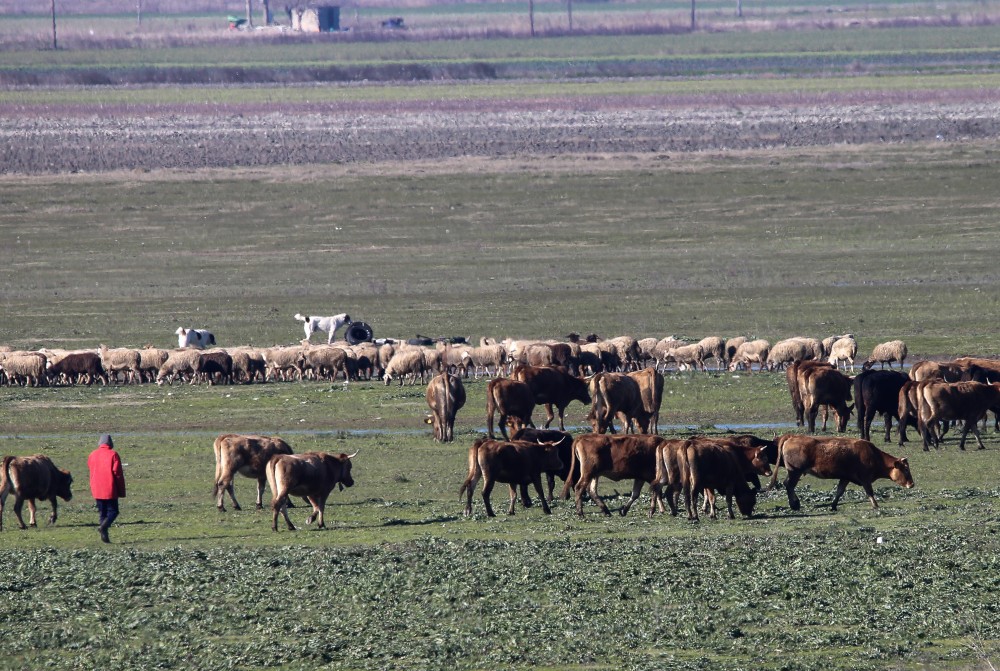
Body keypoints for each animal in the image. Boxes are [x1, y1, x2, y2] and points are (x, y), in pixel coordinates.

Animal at [764, 434, 916, 512]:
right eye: (905, 469)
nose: (912, 484)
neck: (873, 455)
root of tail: (791, 437)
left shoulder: (845, 477)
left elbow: (839, 491)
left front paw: (833, 505)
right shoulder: (865, 479)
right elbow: (870, 492)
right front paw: (876, 505)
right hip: (795, 472)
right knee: (789, 485)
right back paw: (795, 504)